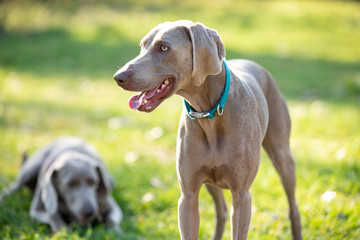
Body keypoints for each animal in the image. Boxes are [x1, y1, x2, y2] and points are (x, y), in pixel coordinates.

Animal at [112, 20, 300, 240]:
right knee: (221, 211)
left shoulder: (242, 196)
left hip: (282, 156)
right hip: (211, 184)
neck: (209, 115)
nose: (118, 77)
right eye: (142, 46)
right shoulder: (188, 197)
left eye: (163, 47)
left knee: (292, 206)